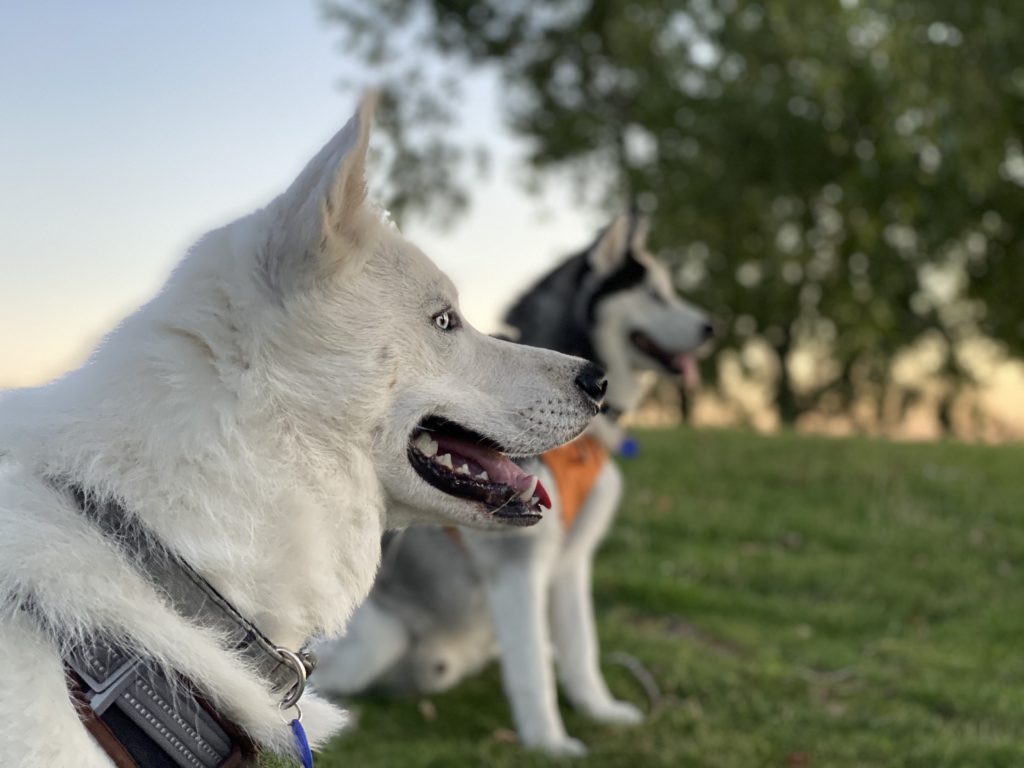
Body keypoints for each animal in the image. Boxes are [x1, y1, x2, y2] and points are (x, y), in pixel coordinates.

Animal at [311, 214, 712, 753]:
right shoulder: (518, 563)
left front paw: (600, 710)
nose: (712, 327)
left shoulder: (572, 562)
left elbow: (582, 647)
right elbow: (533, 669)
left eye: (668, 290)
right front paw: (550, 746)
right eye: (653, 294)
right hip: (378, 638)